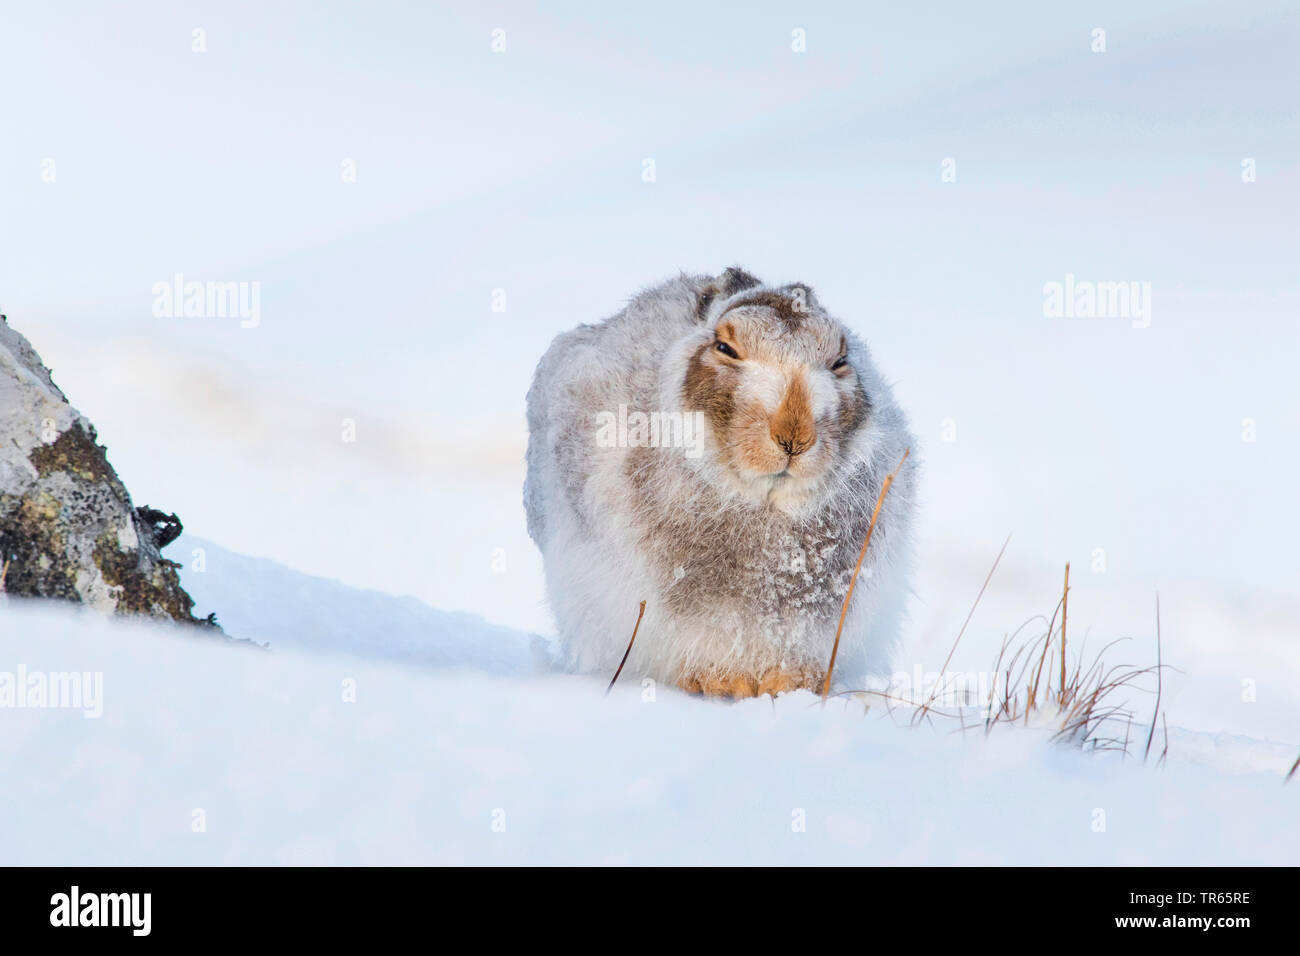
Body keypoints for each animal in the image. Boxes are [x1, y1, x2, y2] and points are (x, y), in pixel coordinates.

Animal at [525, 267, 917, 698]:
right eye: (725, 348)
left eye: (840, 361)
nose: (793, 435)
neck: (764, 501)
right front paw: (723, 682)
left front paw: (789, 684)